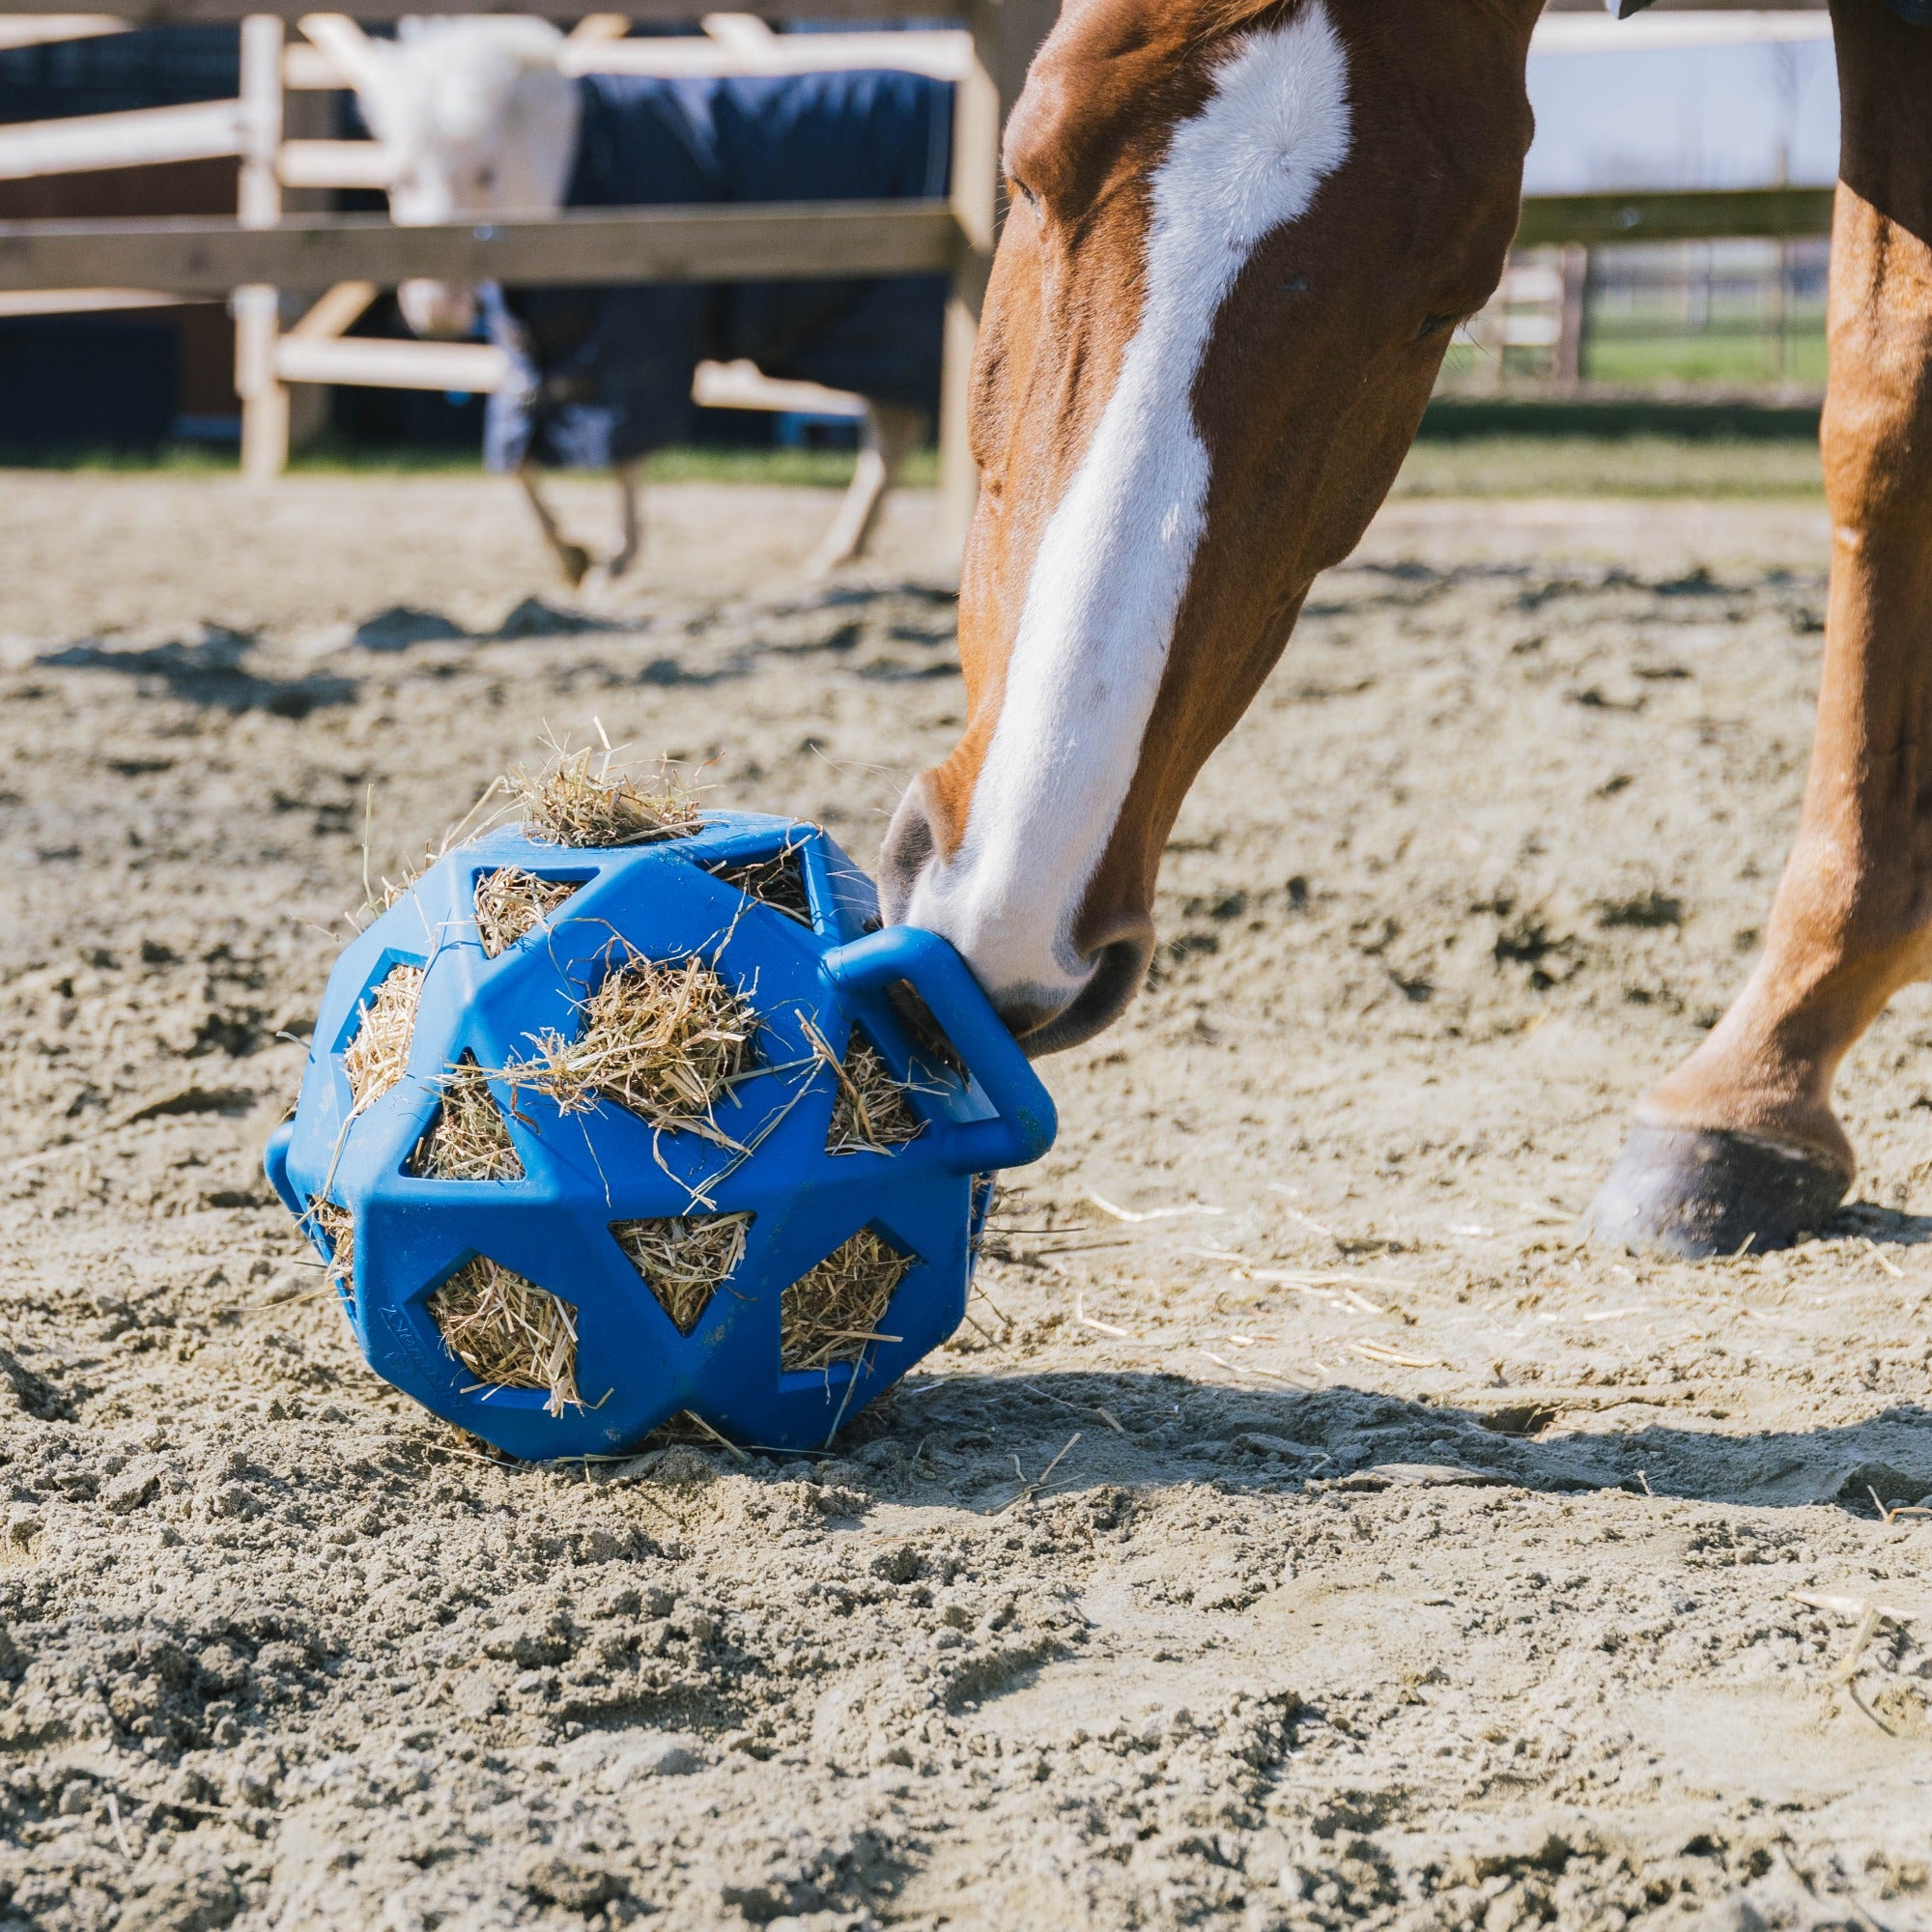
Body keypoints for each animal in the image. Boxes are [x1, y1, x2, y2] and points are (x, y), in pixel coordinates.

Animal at [885, 0, 1932, 1260]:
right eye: (1026, 174)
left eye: (1447, 299)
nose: (1007, 922)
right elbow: (1881, 408)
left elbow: (1886, 409)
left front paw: (1756, 1084)